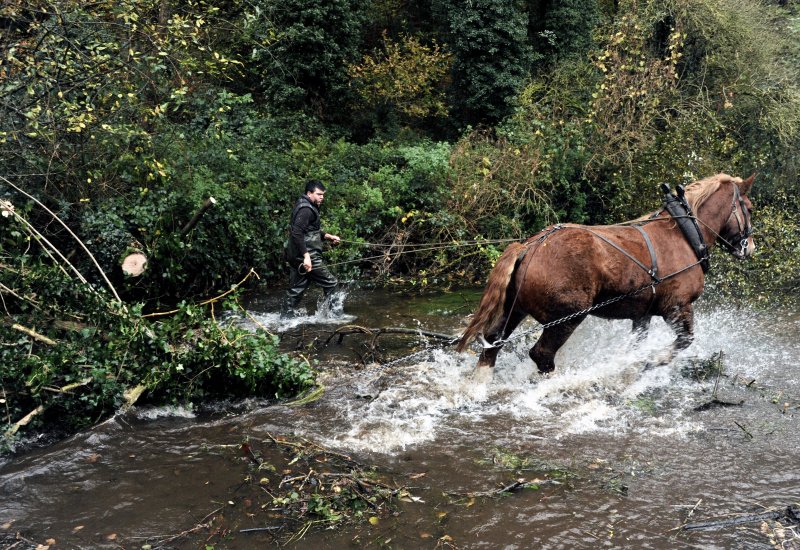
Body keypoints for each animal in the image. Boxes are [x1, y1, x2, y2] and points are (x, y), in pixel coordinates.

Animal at [456, 175, 756, 378]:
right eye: (749, 208)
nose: (750, 247)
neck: (684, 234)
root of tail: (530, 246)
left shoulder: (642, 315)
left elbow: (635, 346)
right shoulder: (677, 307)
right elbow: (684, 342)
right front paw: (650, 362)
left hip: (514, 309)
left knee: (493, 344)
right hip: (567, 317)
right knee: (541, 354)